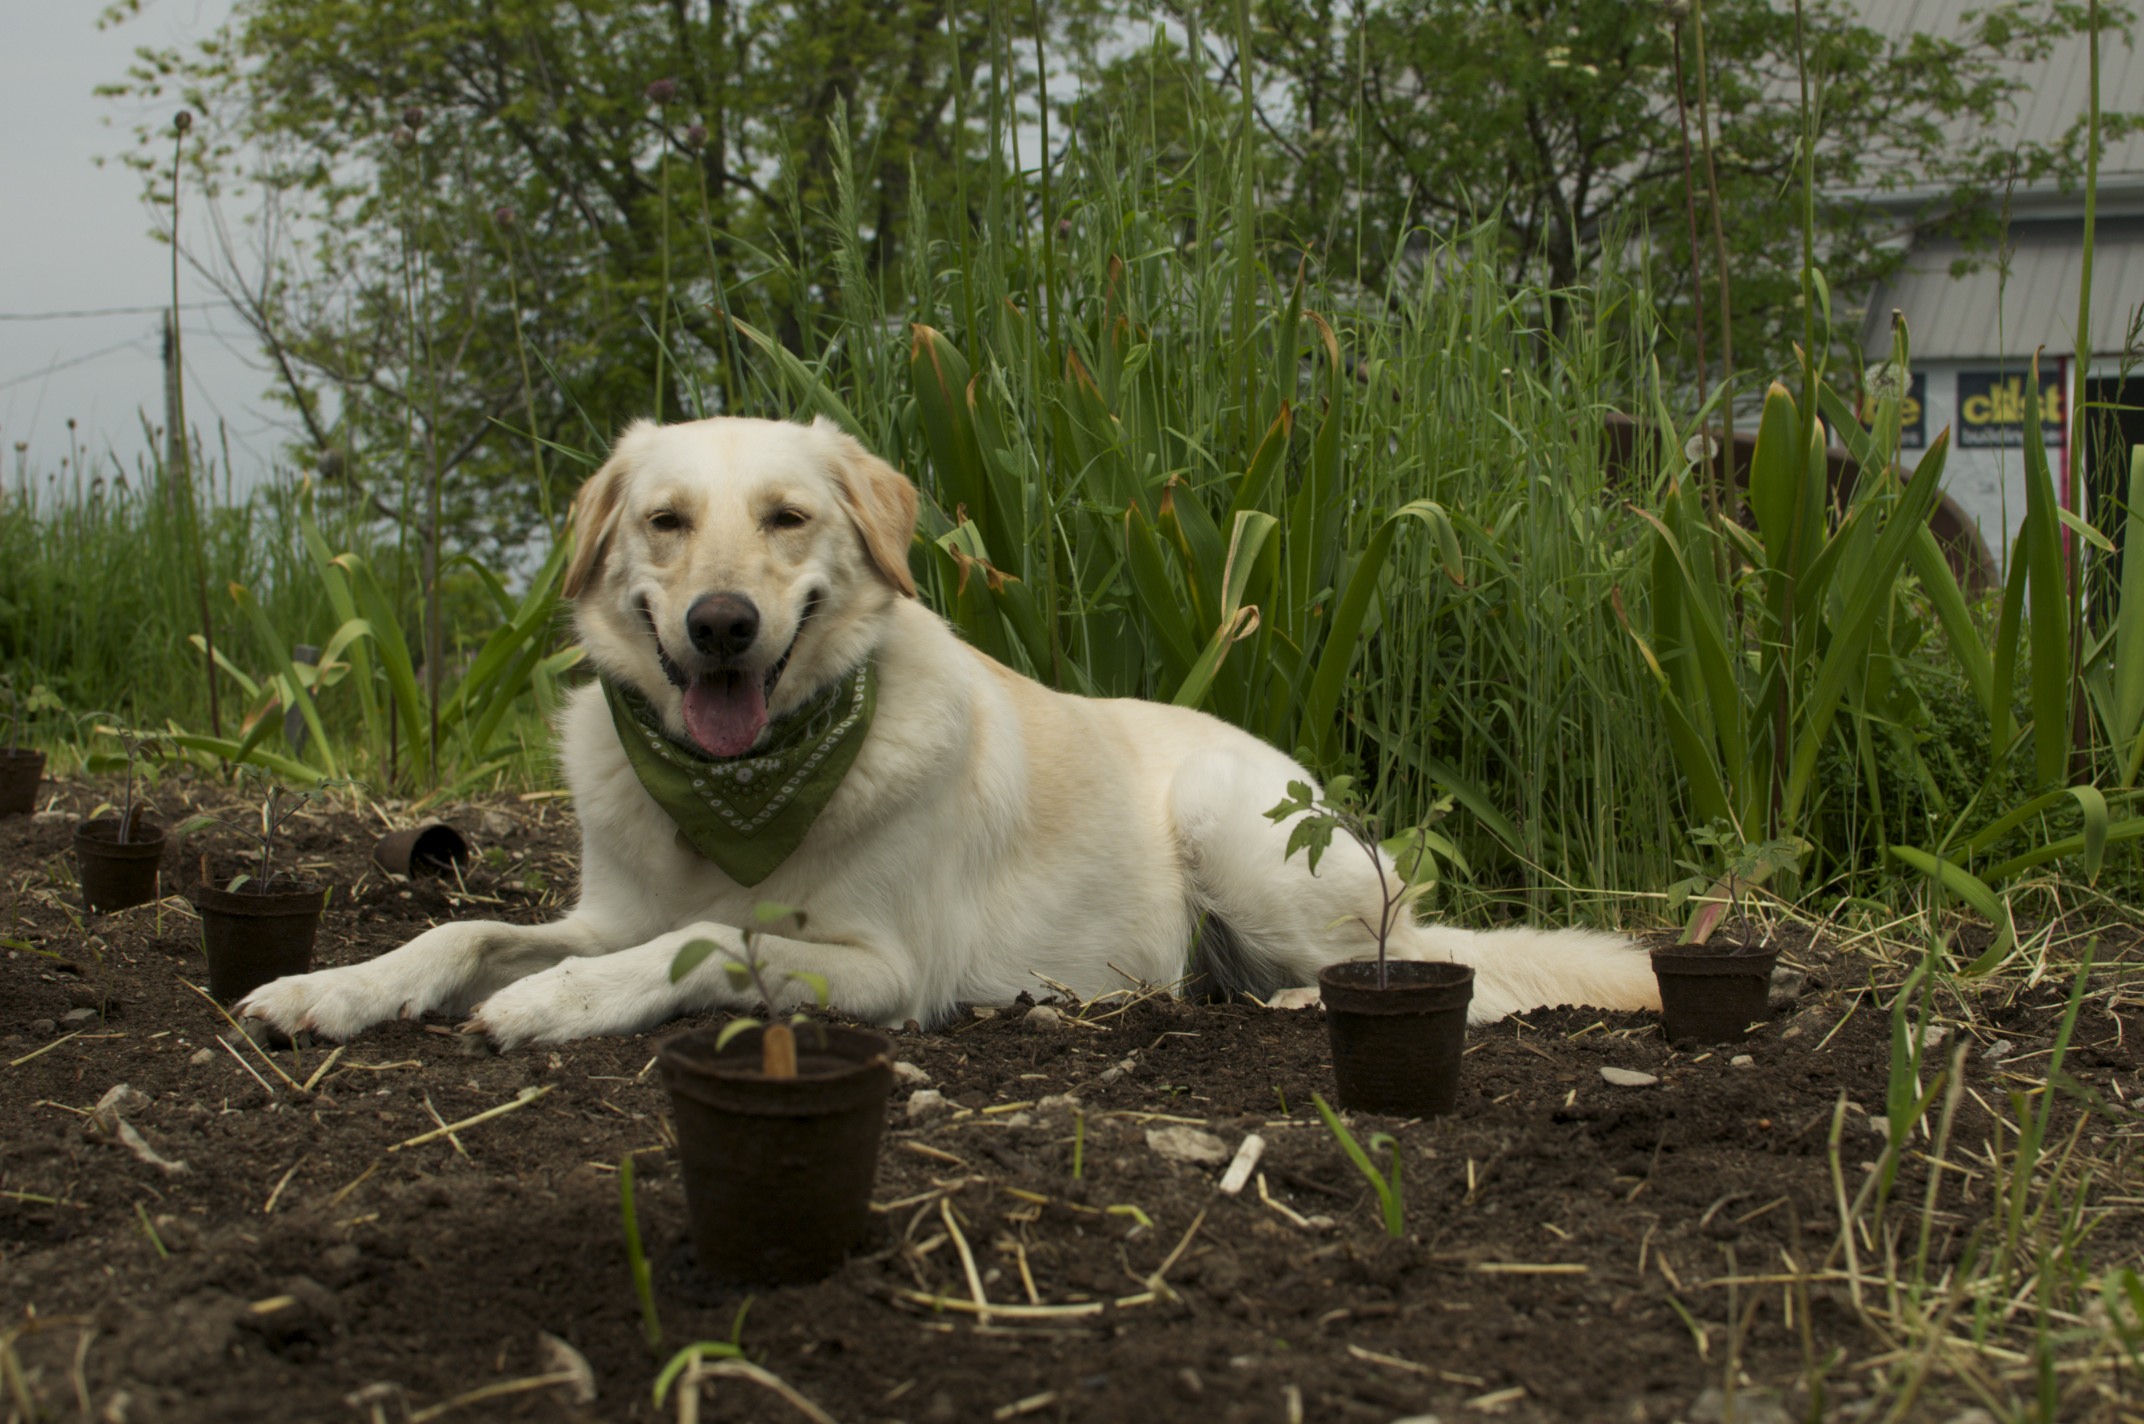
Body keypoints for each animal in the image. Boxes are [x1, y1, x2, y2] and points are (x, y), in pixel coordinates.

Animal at [243, 411, 1663, 1046]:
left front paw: (551, 1002)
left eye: (786, 517)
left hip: (1230, 820)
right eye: (663, 521)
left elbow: (705, 939)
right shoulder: (611, 905)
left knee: (1390, 971)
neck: (746, 791)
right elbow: (464, 926)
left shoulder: (883, 966)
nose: (719, 625)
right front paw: (332, 986)